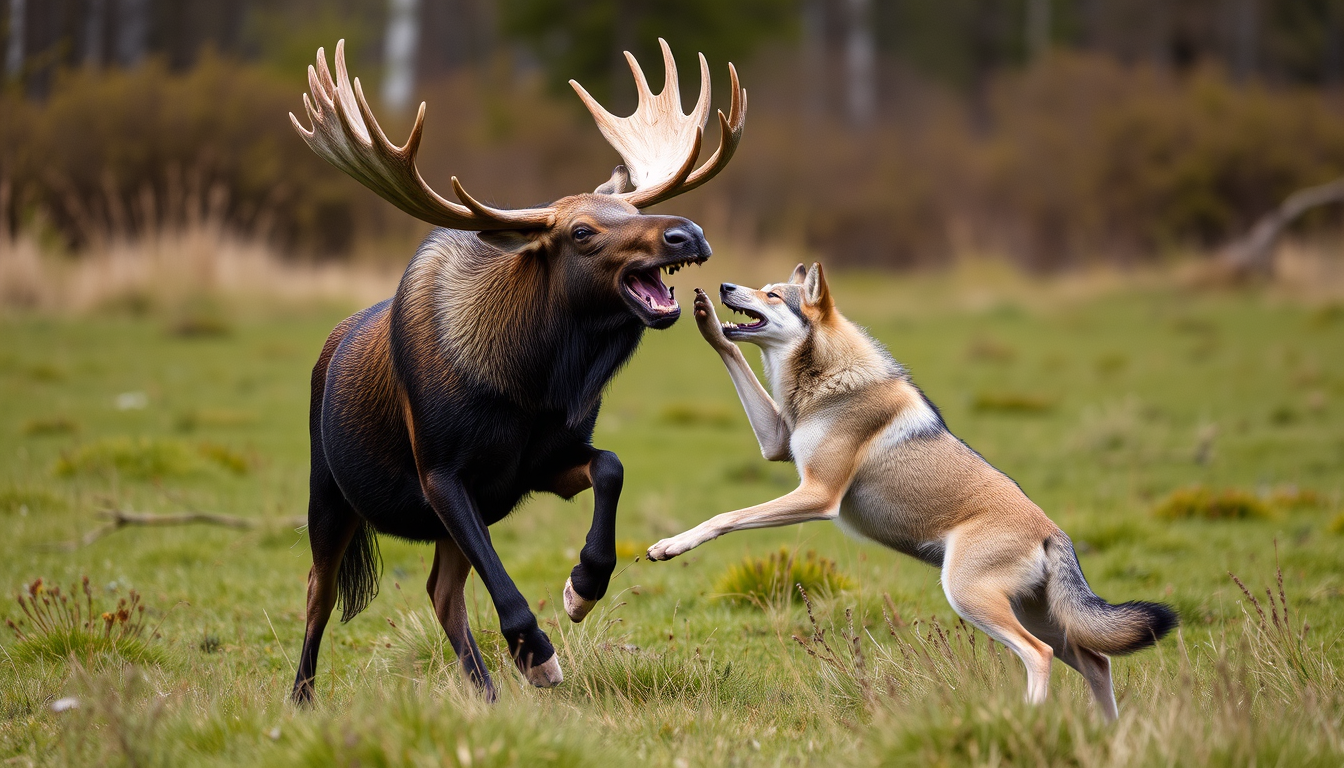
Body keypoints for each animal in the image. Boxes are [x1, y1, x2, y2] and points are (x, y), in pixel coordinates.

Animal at [285, 39, 745, 703]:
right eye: (582, 231)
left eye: (627, 206)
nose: (688, 233)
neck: (531, 388)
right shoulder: (441, 473)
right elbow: (499, 577)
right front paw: (538, 655)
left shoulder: (537, 465)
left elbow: (611, 466)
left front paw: (582, 588)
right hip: (328, 491)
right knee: (319, 593)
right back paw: (301, 699)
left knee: (441, 593)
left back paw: (485, 695)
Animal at [646, 263, 1177, 719]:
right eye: (760, 287)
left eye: (773, 295)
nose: (725, 286)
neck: (827, 382)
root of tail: (1054, 533)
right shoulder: (777, 443)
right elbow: (732, 353)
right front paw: (705, 319)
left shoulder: (818, 495)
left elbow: (725, 517)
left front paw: (671, 545)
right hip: (1040, 616)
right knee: (1097, 662)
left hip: (974, 600)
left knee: (1039, 655)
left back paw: (1026, 719)